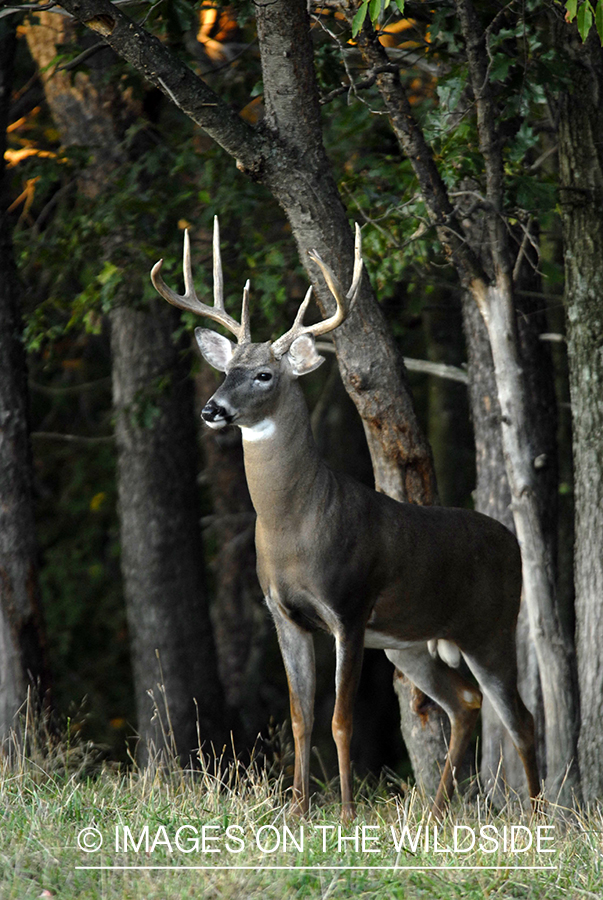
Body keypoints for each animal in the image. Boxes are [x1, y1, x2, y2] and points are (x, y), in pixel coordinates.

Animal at [150, 220, 536, 824]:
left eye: (264, 374)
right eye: (227, 370)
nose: (212, 409)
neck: (293, 528)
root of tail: (512, 543)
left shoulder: (349, 609)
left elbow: (341, 718)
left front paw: (348, 813)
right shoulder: (283, 613)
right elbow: (300, 715)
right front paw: (297, 811)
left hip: (491, 628)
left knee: (520, 718)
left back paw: (544, 817)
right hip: (408, 643)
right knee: (466, 703)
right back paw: (434, 813)